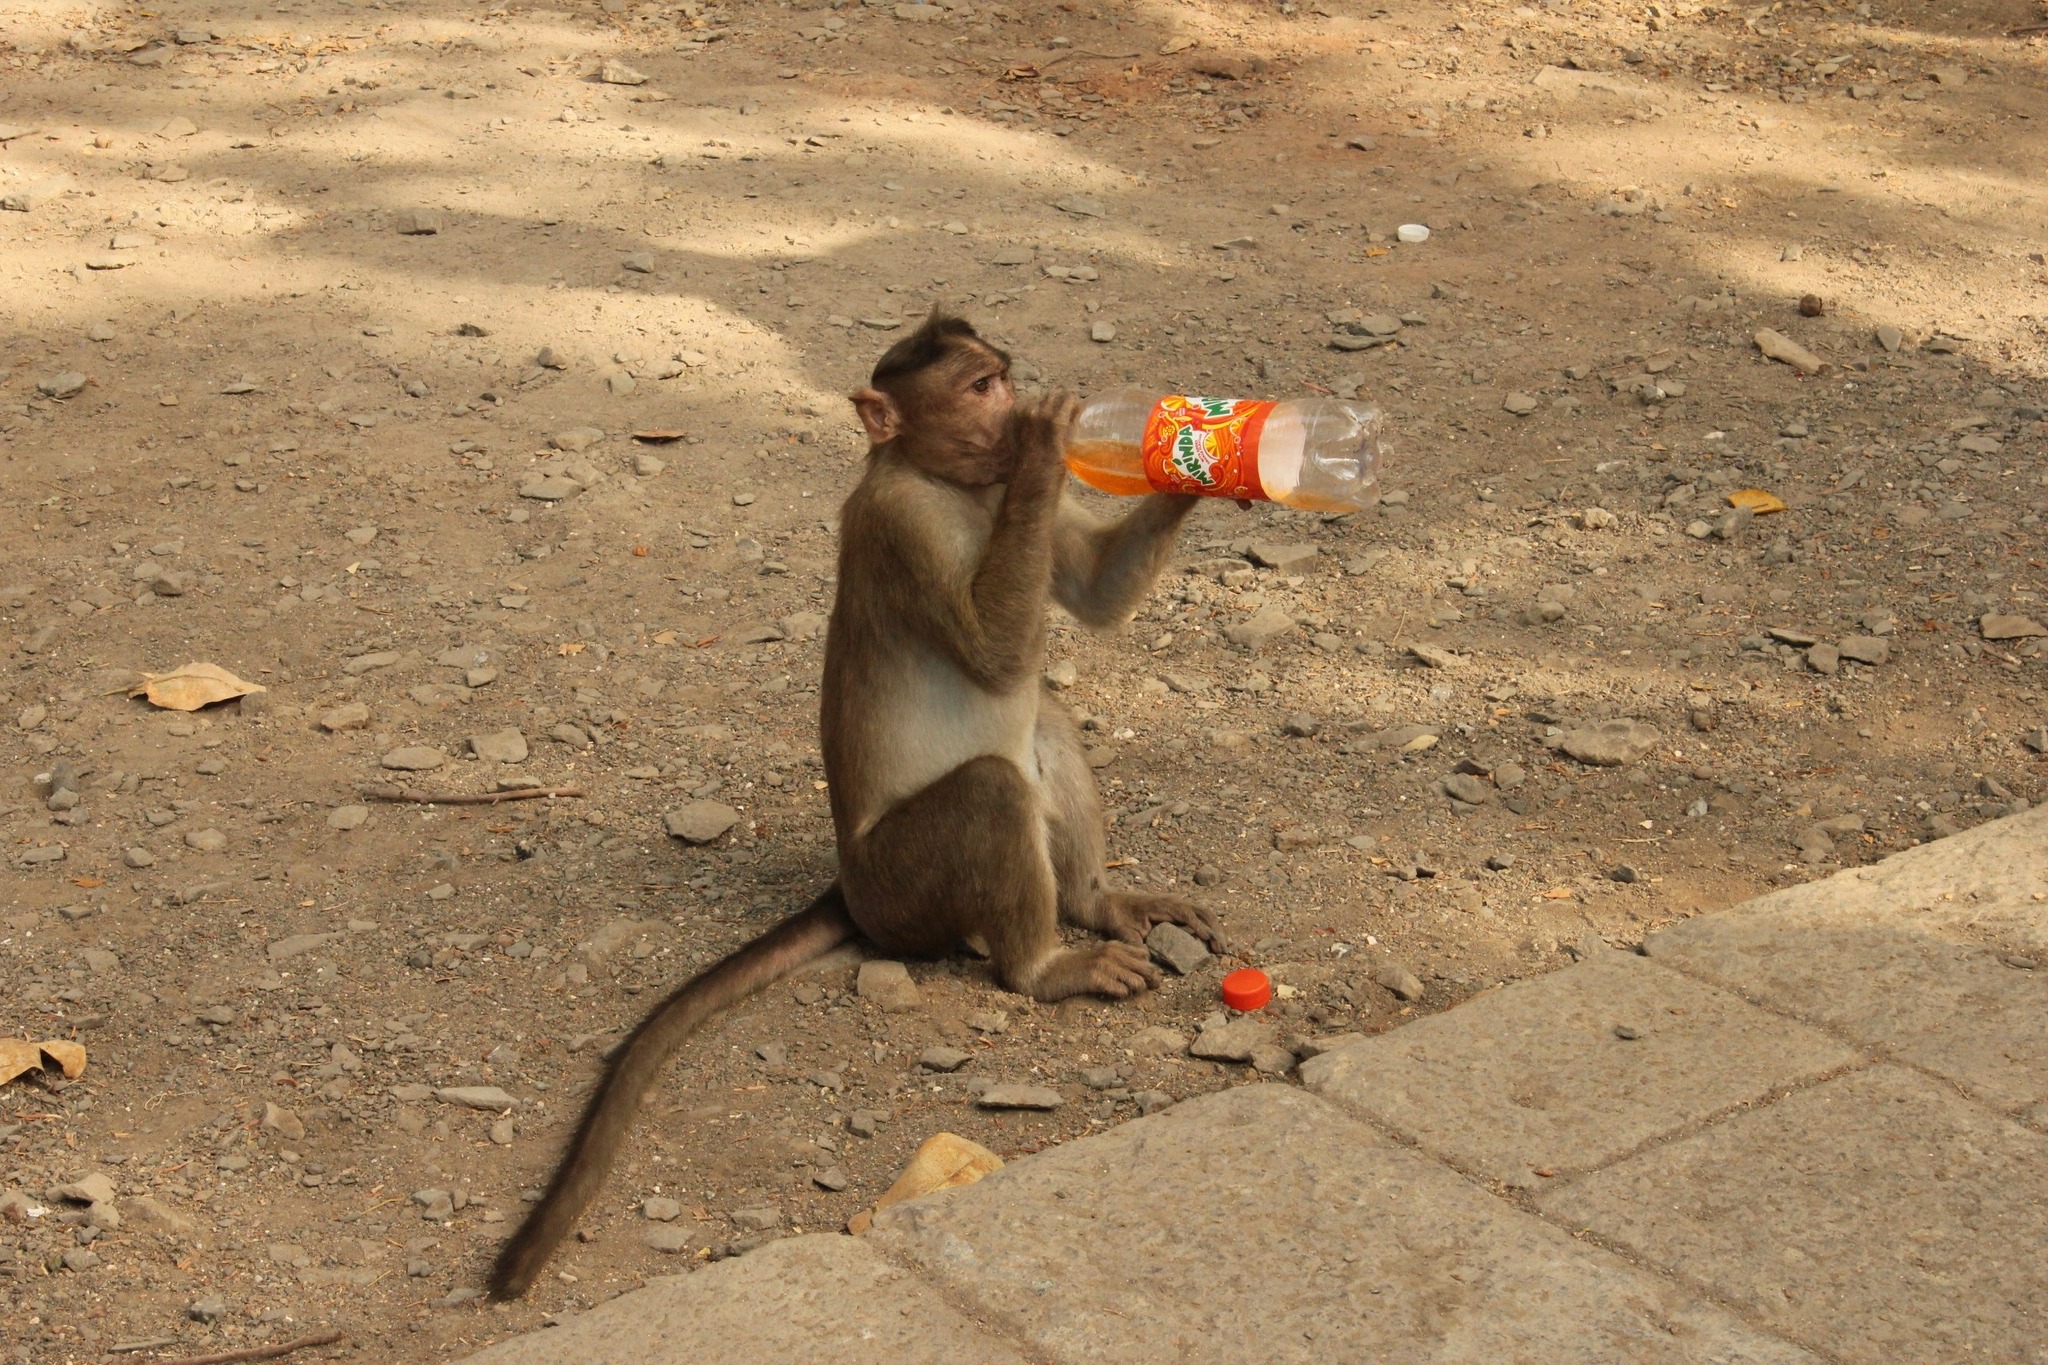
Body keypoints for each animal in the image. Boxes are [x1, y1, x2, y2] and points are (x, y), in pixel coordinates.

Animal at [491, 313, 1212, 1301]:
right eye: (982, 385)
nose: (1017, 402)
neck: (946, 481)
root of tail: (849, 884)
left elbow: (1094, 599)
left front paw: (1200, 458)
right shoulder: (899, 524)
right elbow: (994, 649)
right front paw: (1051, 443)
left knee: (1047, 724)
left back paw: (1096, 902)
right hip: (902, 887)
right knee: (994, 785)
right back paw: (1043, 966)